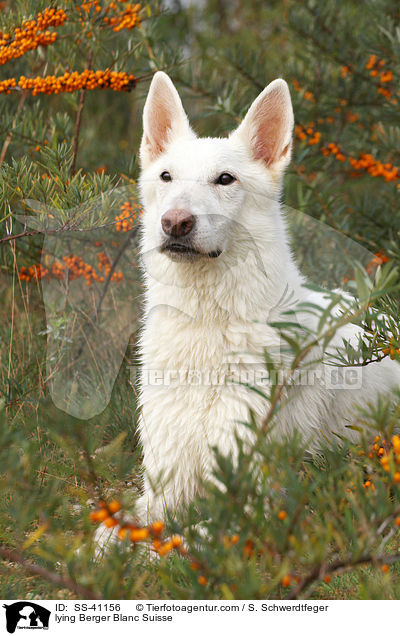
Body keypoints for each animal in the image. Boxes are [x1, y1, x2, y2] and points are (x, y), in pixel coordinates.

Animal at [134, 72, 396, 524]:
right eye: (166, 176)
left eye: (225, 179)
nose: (175, 223)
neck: (208, 324)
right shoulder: (161, 490)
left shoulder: (250, 500)